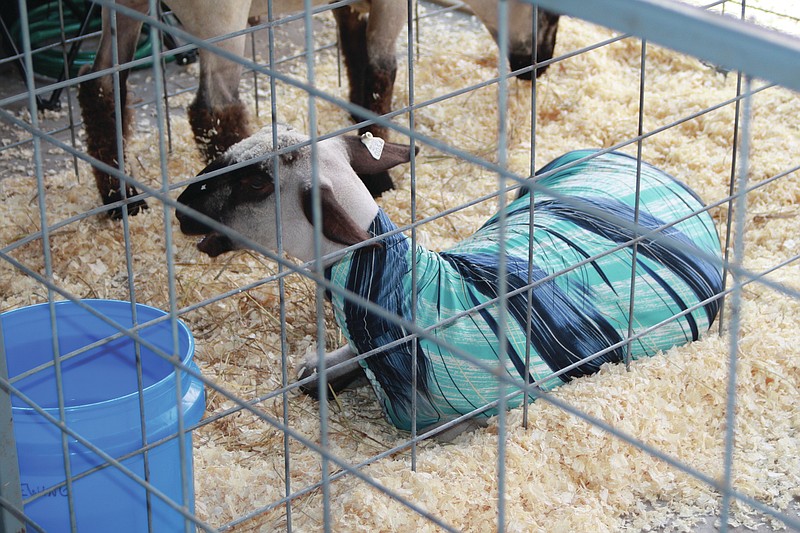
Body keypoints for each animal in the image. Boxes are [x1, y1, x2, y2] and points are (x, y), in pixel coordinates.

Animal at [78, 0, 560, 216]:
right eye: (550, 14)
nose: (538, 68)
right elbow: (382, 73)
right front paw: (381, 177)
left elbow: (356, 60)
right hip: (220, 16)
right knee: (212, 108)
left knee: (98, 85)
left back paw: (120, 199)